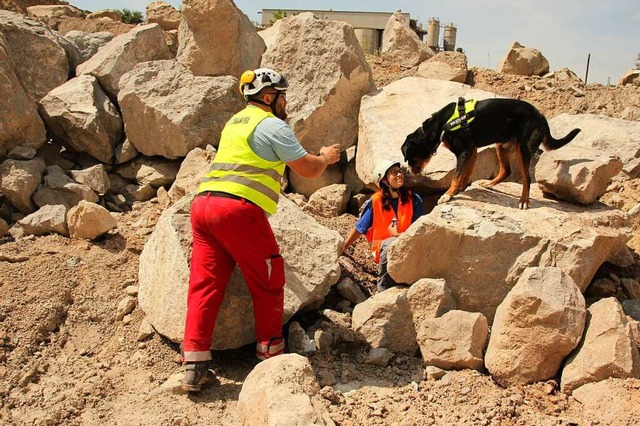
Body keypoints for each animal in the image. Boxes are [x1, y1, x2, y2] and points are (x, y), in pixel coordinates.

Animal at [402, 98, 584, 208]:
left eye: (410, 157)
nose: (409, 173)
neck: (441, 124)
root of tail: (541, 116)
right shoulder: (472, 150)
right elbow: (466, 174)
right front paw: (461, 189)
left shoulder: (464, 152)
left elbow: (456, 176)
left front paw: (448, 195)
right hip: (501, 145)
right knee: (506, 170)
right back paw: (489, 184)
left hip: (523, 149)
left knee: (527, 178)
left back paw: (524, 201)